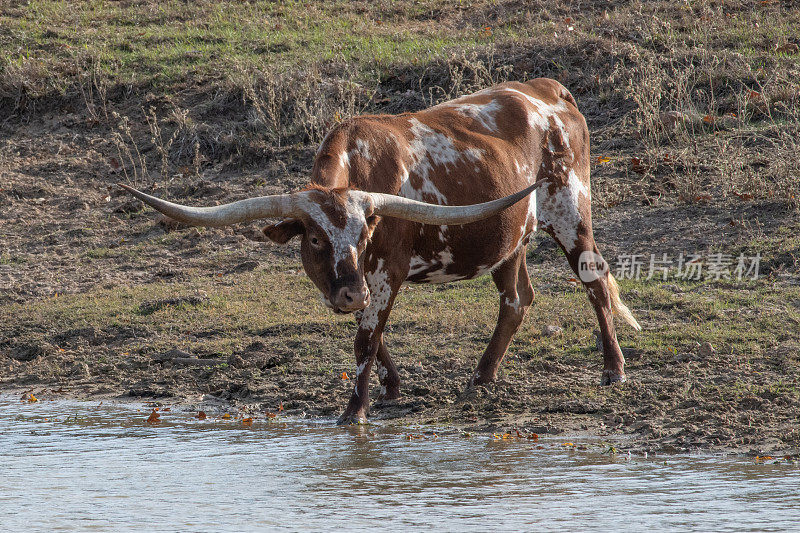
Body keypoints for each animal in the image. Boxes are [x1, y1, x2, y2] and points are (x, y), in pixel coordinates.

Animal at [120, 77, 644, 424]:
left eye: (364, 234)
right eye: (314, 239)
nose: (349, 294)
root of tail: (549, 88)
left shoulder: (385, 271)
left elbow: (365, 339)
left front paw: (354, 411)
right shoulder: (356, 281)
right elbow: (370, 328)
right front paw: (389, 388)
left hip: (570, 212)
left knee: (595, 280)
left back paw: (614, 369)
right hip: (509, 238)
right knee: (516, 300)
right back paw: (482, 376)